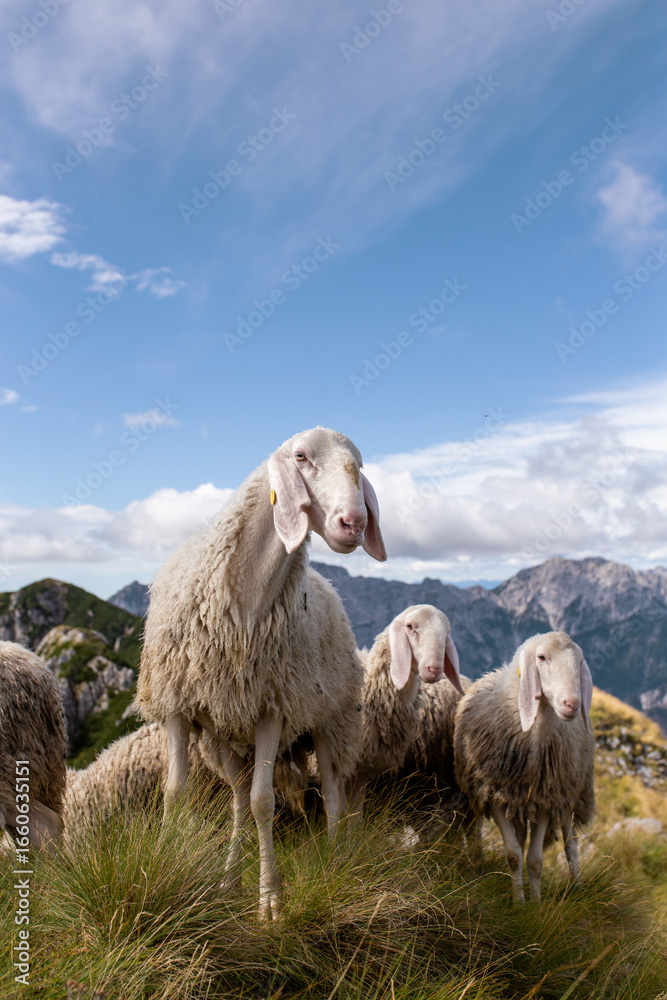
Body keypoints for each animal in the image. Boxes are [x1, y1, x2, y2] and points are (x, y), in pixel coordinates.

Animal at [136, 427, 386, 919]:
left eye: (360, 465)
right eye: (301, 457)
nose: (354, 523)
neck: (242, 604)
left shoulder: (273, 707)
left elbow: (263, 802)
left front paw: (270, 899)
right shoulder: (176, 705)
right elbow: (176, 793)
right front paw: (160, 872)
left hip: (332, 721)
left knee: (331, 795)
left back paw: (332, 864)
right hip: (224, 739)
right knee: (235, 800)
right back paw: (227, 881)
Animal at [453, 631, 595, 902]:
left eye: (580, 661)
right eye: (542, 657)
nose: (572, 704)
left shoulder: (545, 800)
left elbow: (536, 861)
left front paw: (536, 904)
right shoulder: (495, 795)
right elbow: (514, 854)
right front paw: (519, 902)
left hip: (570, 794)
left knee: (571, 844)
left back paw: (578, 888)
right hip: (516, 800)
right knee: (520, 837)